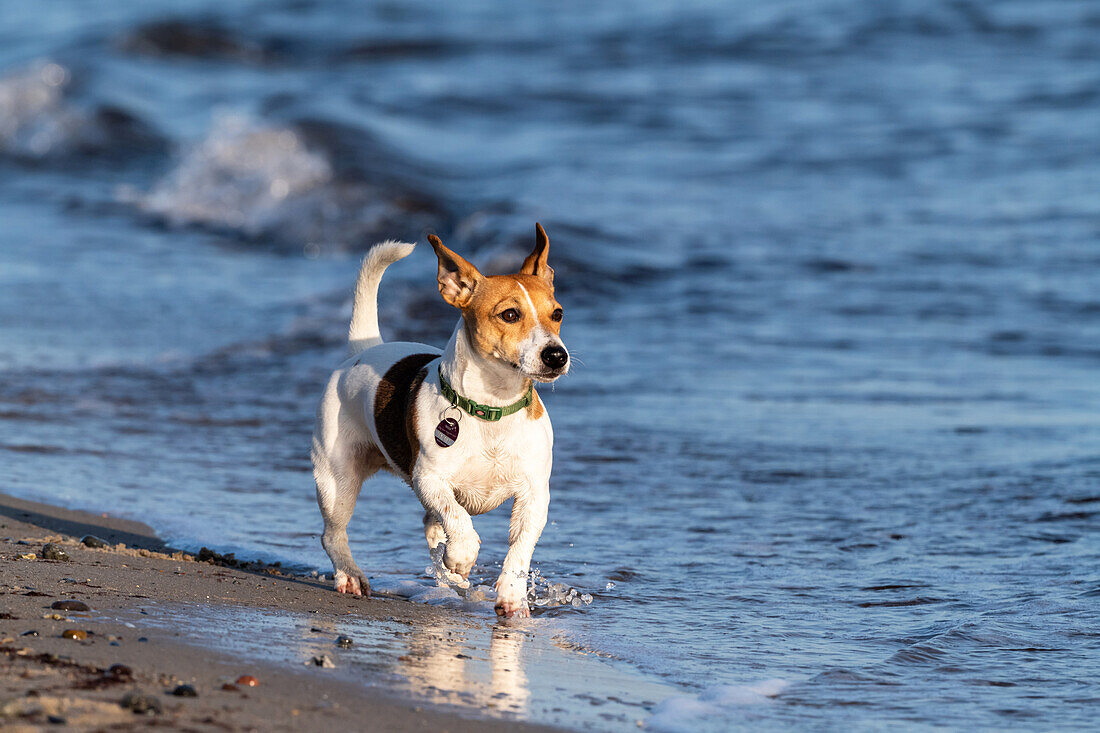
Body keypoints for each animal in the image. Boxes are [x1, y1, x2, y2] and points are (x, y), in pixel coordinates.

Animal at [310, 222, 567, 616]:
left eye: (557, 314)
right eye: (509, 315)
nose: (556, 355)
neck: (492, 409)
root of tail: (364, 349)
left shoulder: (534, 495)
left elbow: (519, 550)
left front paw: (511, 596)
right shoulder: (429, 478)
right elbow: (458, 517)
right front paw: (463, 554)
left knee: (431, 526)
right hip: (336, 478)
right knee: (332, 533)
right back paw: (351, 576)